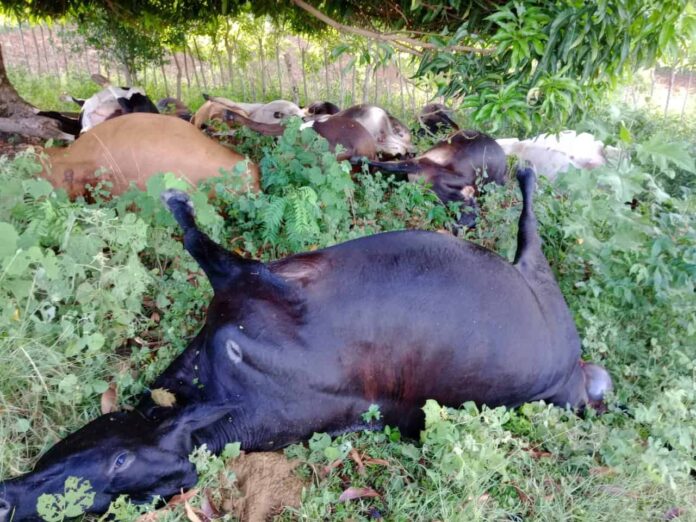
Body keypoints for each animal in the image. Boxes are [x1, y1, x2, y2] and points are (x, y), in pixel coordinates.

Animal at [0, 167, 613, 521]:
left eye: (122, 460)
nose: (8, 503)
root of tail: (575, 375)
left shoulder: (260, 289)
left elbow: (203, 243)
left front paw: (178, 201)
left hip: (539, 286)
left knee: (530, 225)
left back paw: (527, 171)